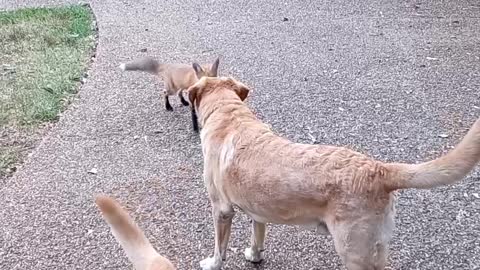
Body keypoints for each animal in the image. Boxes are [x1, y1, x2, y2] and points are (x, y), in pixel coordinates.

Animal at [187, 75, 480, 270]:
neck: (229, 115)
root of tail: (379, 169)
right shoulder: (257, 209)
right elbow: (258, 233)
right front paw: (254, 254)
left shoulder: (221, 209)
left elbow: (220, 247)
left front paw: (213, 263)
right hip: (377, 247)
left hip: (354, 252)